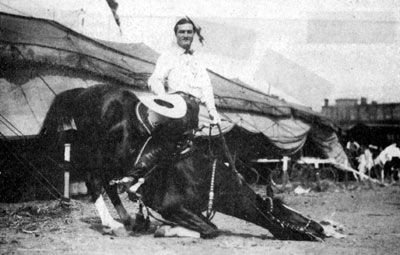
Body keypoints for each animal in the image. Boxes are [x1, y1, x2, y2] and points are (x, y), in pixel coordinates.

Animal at [38, 84, 324, 241]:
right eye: (284, 210)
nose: (320, 228)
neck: (203, 175)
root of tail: (84, 92)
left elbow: (209, 226)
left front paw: (155, 225)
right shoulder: (172, 207)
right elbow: (211, 229)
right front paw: (165, 230)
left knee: (109, 185)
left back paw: (129, 219)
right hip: (96, 153)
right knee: (94, 181)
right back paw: (114, 224)